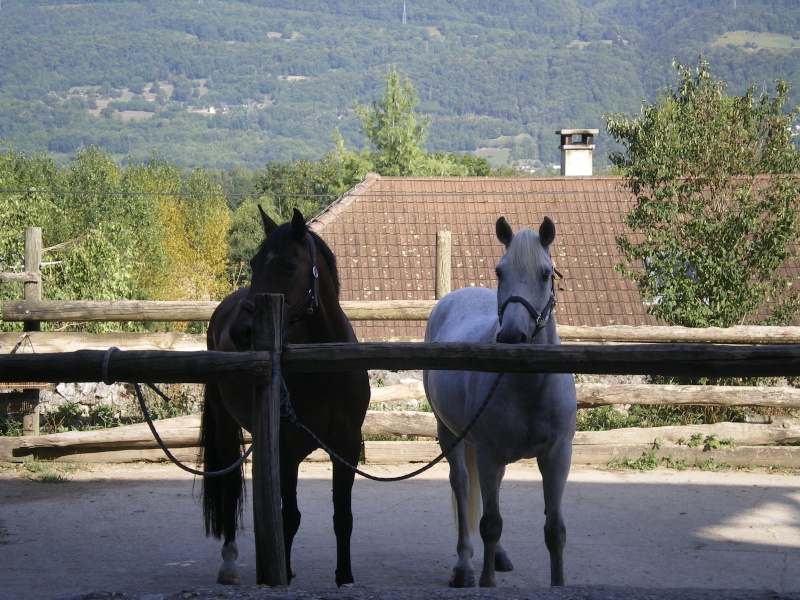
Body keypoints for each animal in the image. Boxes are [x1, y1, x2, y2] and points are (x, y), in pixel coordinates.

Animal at [203, 206, 372, 584]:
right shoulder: (288, 449)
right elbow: (289, 516)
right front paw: (284, 574)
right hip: (225, 427)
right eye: (253, 264)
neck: (326, 369)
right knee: (231, 487)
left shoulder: (346, 447)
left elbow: (343, 517)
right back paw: (229, 564)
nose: (242, 331)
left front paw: (345, 577)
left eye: (290, 266)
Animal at [424, 214, 576, 584]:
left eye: (546, 274)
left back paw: (499, 556)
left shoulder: (557, 455)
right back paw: (464, 565)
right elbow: (490, 524)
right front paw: (485, 580)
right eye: (499, 271)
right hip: (449, 434)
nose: (512, 336)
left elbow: (555, 531)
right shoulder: (488, 453)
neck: (528, 385)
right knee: (462, 485)